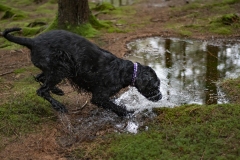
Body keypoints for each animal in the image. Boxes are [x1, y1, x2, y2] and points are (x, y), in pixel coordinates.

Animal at [1, 28, 162, 116]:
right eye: (156, 85)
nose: (160, 97)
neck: (125, 72)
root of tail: (32, 42)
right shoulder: (99, 97)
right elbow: (113, 106)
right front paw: (127, 114)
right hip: (61, 68)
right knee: (42, 90)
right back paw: (58, 105)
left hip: (55, 68)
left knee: (40, 78)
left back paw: (58, 90)